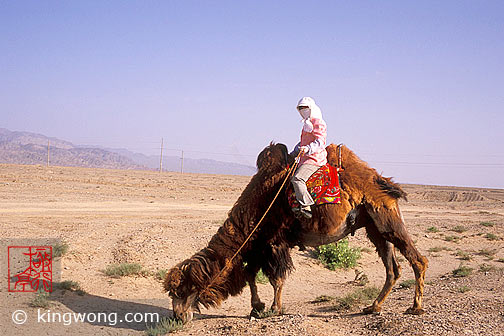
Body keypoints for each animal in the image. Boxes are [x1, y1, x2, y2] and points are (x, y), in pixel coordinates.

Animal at [165, 143, 430, 322]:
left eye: (182, 290)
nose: (178, 316)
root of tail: (380, 179)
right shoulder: (258, 246)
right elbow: (250, 275)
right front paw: (257, 306)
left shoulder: (274, 242)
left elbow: (276, 279)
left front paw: (274, 309)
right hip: (374, 226)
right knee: (392, 268)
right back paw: (373, 307)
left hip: (385, 218)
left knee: (417, 259)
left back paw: (415, 307)